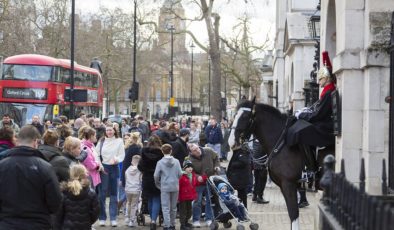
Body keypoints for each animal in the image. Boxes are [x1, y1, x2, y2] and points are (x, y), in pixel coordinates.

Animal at [229, 99, 334, 230]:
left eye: (245, 116)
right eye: (234, 115)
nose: (231, 142)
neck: (281, 144)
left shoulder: (288, 184)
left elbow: (294, 214)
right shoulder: (284, 186)